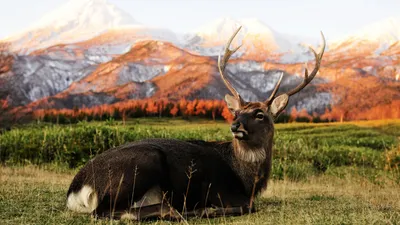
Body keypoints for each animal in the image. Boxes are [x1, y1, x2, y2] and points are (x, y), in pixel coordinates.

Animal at [65, 26, 324, 221]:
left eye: (260, 114)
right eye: (237, 112)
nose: (235, 125)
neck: (247, 180)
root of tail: (76, 190)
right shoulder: (219, 190)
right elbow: (248, 206)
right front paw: (208, 209)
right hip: (142, 163)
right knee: (105, 211)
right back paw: (184, 211)